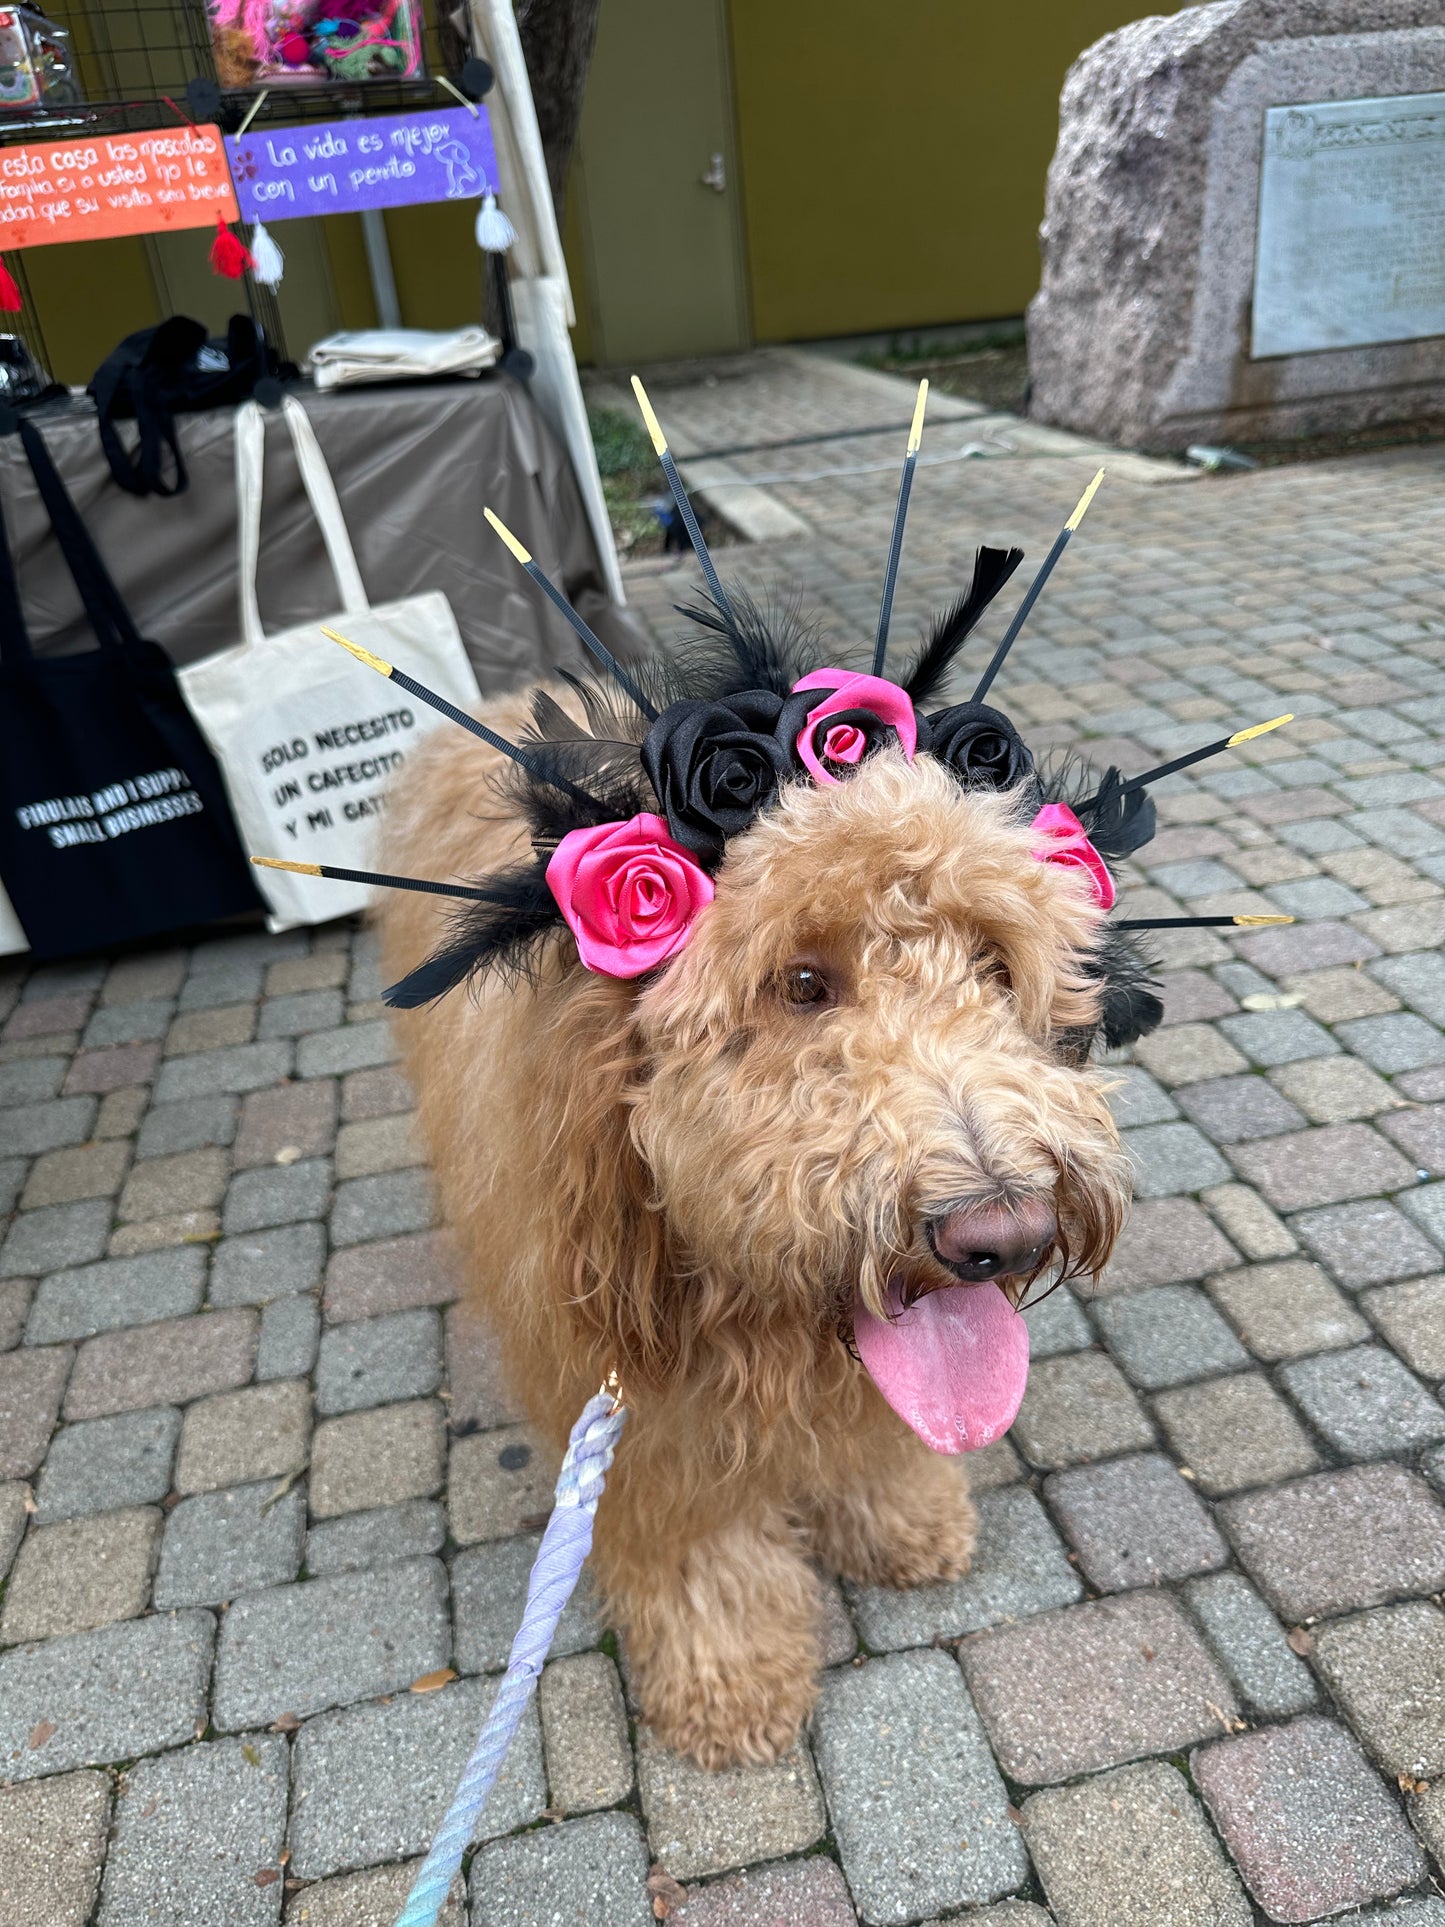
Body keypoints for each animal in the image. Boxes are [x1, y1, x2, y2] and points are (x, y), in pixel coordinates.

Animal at [364, 512, 1179, 1772]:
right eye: (800, 982)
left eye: (994, 964)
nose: (1002, 1231)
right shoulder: (626, 1391)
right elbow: (693, 1543)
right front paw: (728, 1670)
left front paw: (897, 1512)